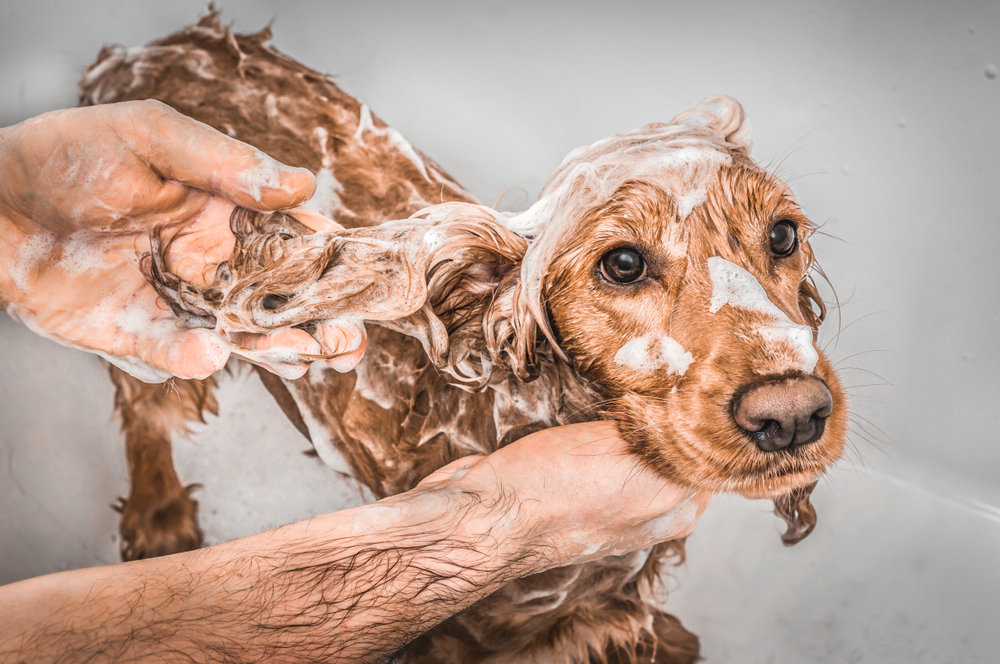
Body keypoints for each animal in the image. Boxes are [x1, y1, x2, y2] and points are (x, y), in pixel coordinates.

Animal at [80, 11, 844, 664]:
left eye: (784, 235)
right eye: (623, 263)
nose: (791, 416)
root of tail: (139, 52)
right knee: (145, 408)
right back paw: (158, 518)